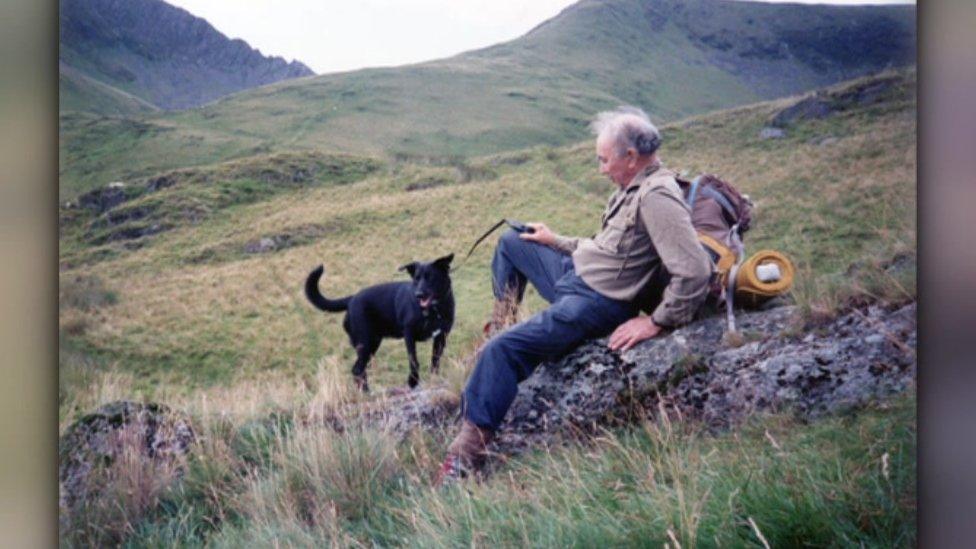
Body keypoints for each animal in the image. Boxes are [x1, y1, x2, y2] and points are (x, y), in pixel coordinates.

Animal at [304, 255, 456, 392]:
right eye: (416, 279)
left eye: (431, 277)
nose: (418, 295)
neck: (433, 309)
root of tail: (351, 299)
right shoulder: (409, 335)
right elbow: (414, 361)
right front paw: (413, 382)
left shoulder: (441, 336)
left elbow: (435, 361)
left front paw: (434, 380)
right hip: (365, 343)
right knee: (358, 369)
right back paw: (366, 393)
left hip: (372, 344)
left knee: (359, 369)